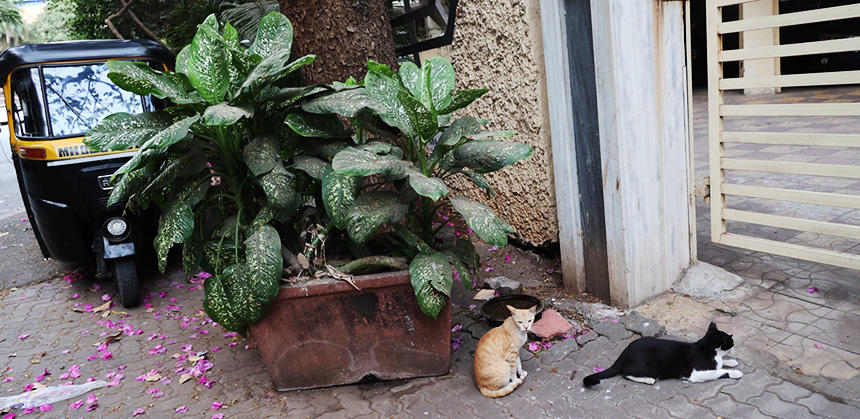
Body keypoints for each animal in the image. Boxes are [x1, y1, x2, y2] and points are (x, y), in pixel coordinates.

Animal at [580, 322, 744, 388]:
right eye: (731, 342)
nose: (735, 345)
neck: (706, 348)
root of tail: (622, 355)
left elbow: (722, 364)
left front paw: (731, 362)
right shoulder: (697, 374)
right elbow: (720, 371)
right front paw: (736, 372)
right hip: (649, 366)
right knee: (626, 373)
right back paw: (649, 380)